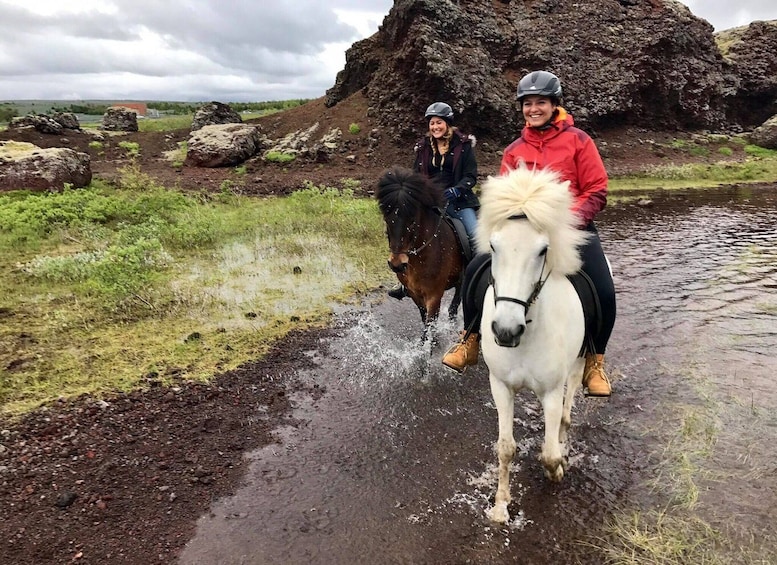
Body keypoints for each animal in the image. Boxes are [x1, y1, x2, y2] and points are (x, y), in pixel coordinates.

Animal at [378, 165, 464, 338]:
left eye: (412, 221)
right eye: (387, 220)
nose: (396, 264)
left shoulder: (434, 296)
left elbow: (429, 328)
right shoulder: (415, 294)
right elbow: (425, 323)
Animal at [472, 164, 588, 524]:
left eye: (542, 250)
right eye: (493, 246)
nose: (506, 330)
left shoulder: (551, 390)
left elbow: (549, 454)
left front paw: (558, 469)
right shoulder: (500, 386)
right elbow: (505, 448)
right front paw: (500, 505)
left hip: (578, 365)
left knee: (567, 410)